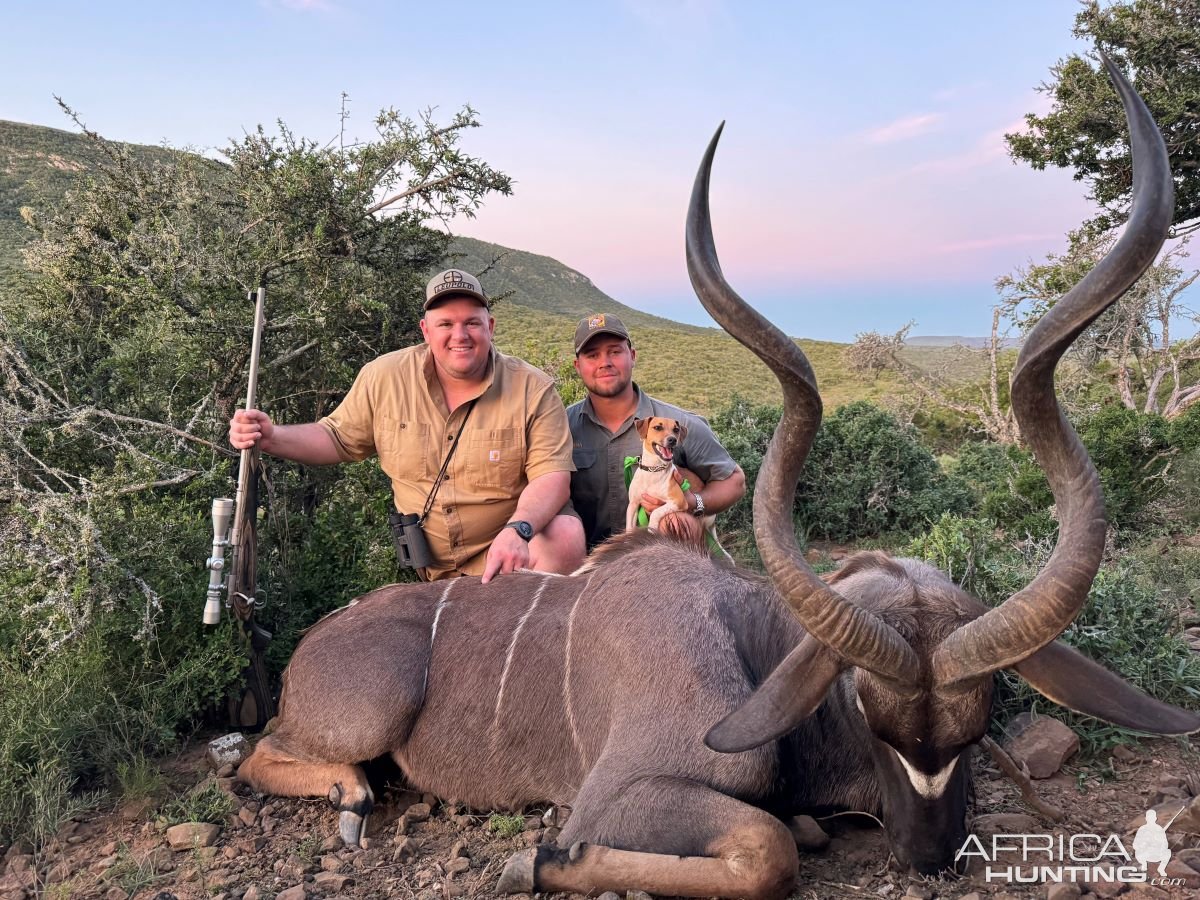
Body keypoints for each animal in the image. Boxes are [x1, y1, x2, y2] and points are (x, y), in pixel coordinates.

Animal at [624, 415, 715, 549]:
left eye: (676, 429)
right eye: (657, 427)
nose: (672, 440)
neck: (654, 470)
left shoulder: (679, 501)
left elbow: (656, 512)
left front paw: (652, 530)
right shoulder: (633, 504)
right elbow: (629, 530)